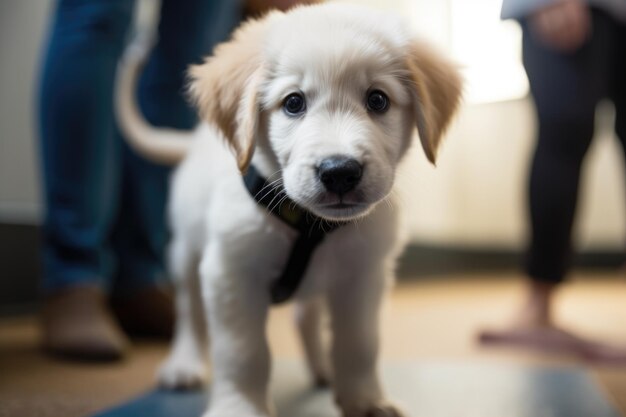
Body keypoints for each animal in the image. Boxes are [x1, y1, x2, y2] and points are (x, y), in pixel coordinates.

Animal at [116, 4, 458, 416]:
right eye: (293, 103)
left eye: (377, 100)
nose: (339, 172)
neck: (310, 225)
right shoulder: (230, 271)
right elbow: (242, 351)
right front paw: (240, 407)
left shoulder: (364, 274)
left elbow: (359, 343)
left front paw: (365, 399)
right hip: (184, 251)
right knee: (190, 311)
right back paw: (183, 363)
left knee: (305, 317)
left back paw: (323, 368)